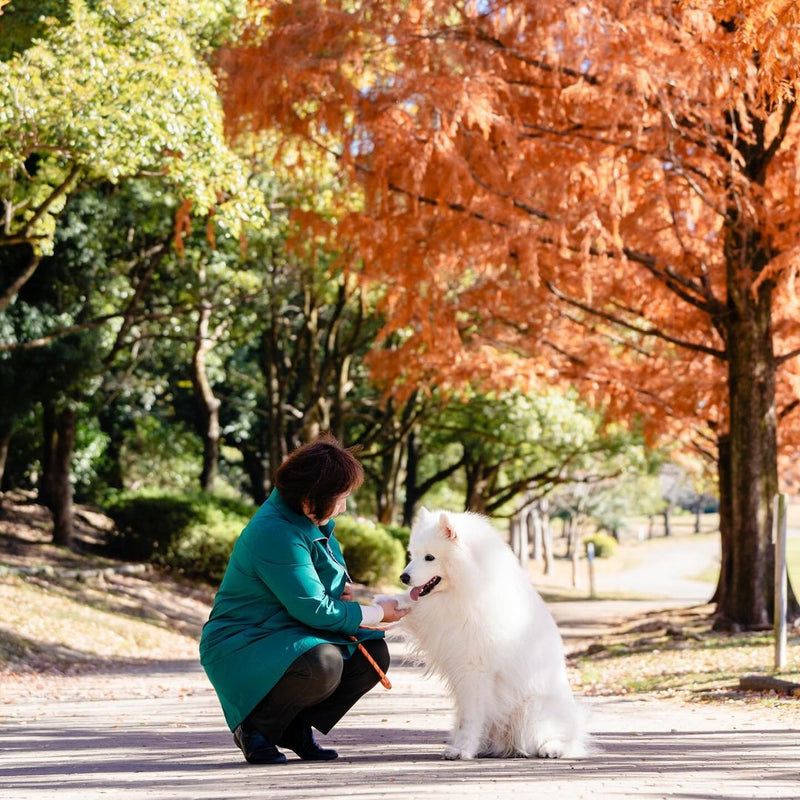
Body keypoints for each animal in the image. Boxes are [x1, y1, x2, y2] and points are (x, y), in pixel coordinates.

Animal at [384, 510, 592, 760]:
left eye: (430, 557)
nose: (403, 577)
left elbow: (470, 718)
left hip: (534, 710)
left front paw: (463, 750)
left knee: (565, 739)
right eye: (412, 555)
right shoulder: (438, 629)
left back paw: (553, 748)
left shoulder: (474, 670)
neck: (472, 584)